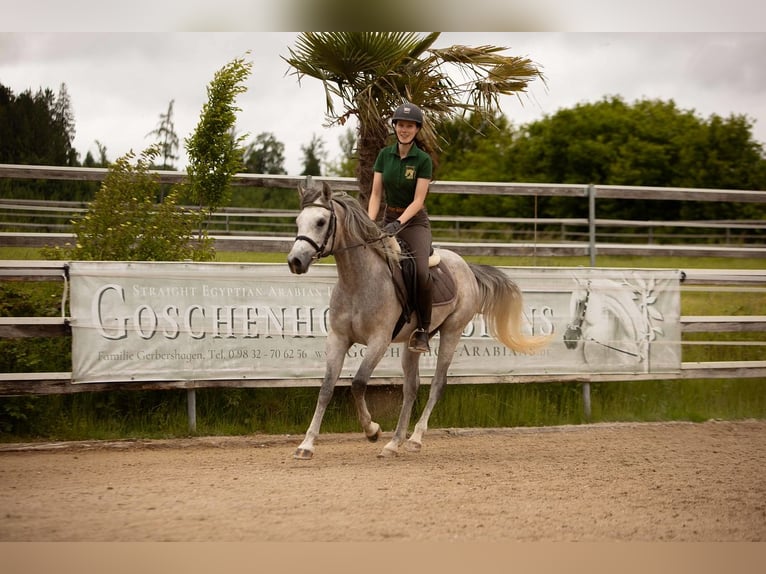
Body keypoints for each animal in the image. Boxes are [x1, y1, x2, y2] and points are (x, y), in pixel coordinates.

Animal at [287, 182, 551, 459]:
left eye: (320, 221)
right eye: (298, 221)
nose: (295, 261)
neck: (358, 281)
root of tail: (466, 267)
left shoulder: (379, 341)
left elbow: (358, 384)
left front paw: (372, 430)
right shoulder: (338, 339)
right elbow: (326, 388)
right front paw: (306, 445)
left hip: (452, 332)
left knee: (437, 384)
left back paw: (414, 439)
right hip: (413, 341)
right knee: (411, 387)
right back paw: (394, 443)